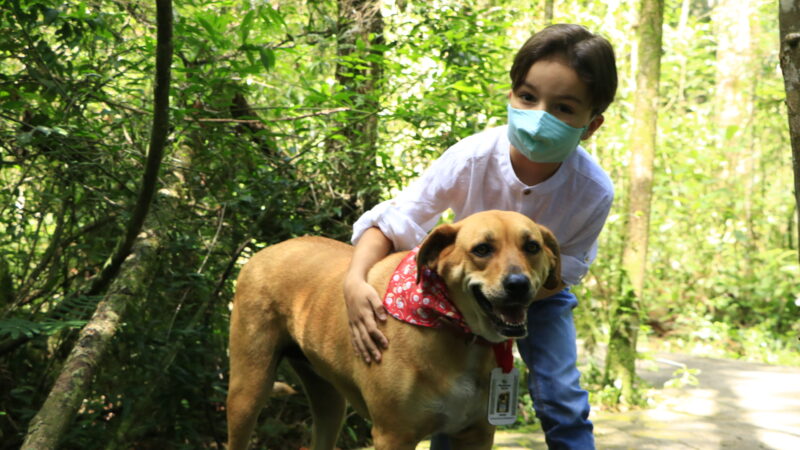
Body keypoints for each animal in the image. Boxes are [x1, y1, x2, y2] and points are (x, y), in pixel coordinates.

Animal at [225, 209, 564, 448]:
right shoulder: (393, 434)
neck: (453, 329)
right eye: (482, 249)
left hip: (329, 403)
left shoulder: (476, 434)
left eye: (532, 246)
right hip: (247, 391)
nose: (518, 285)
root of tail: (261, 253)